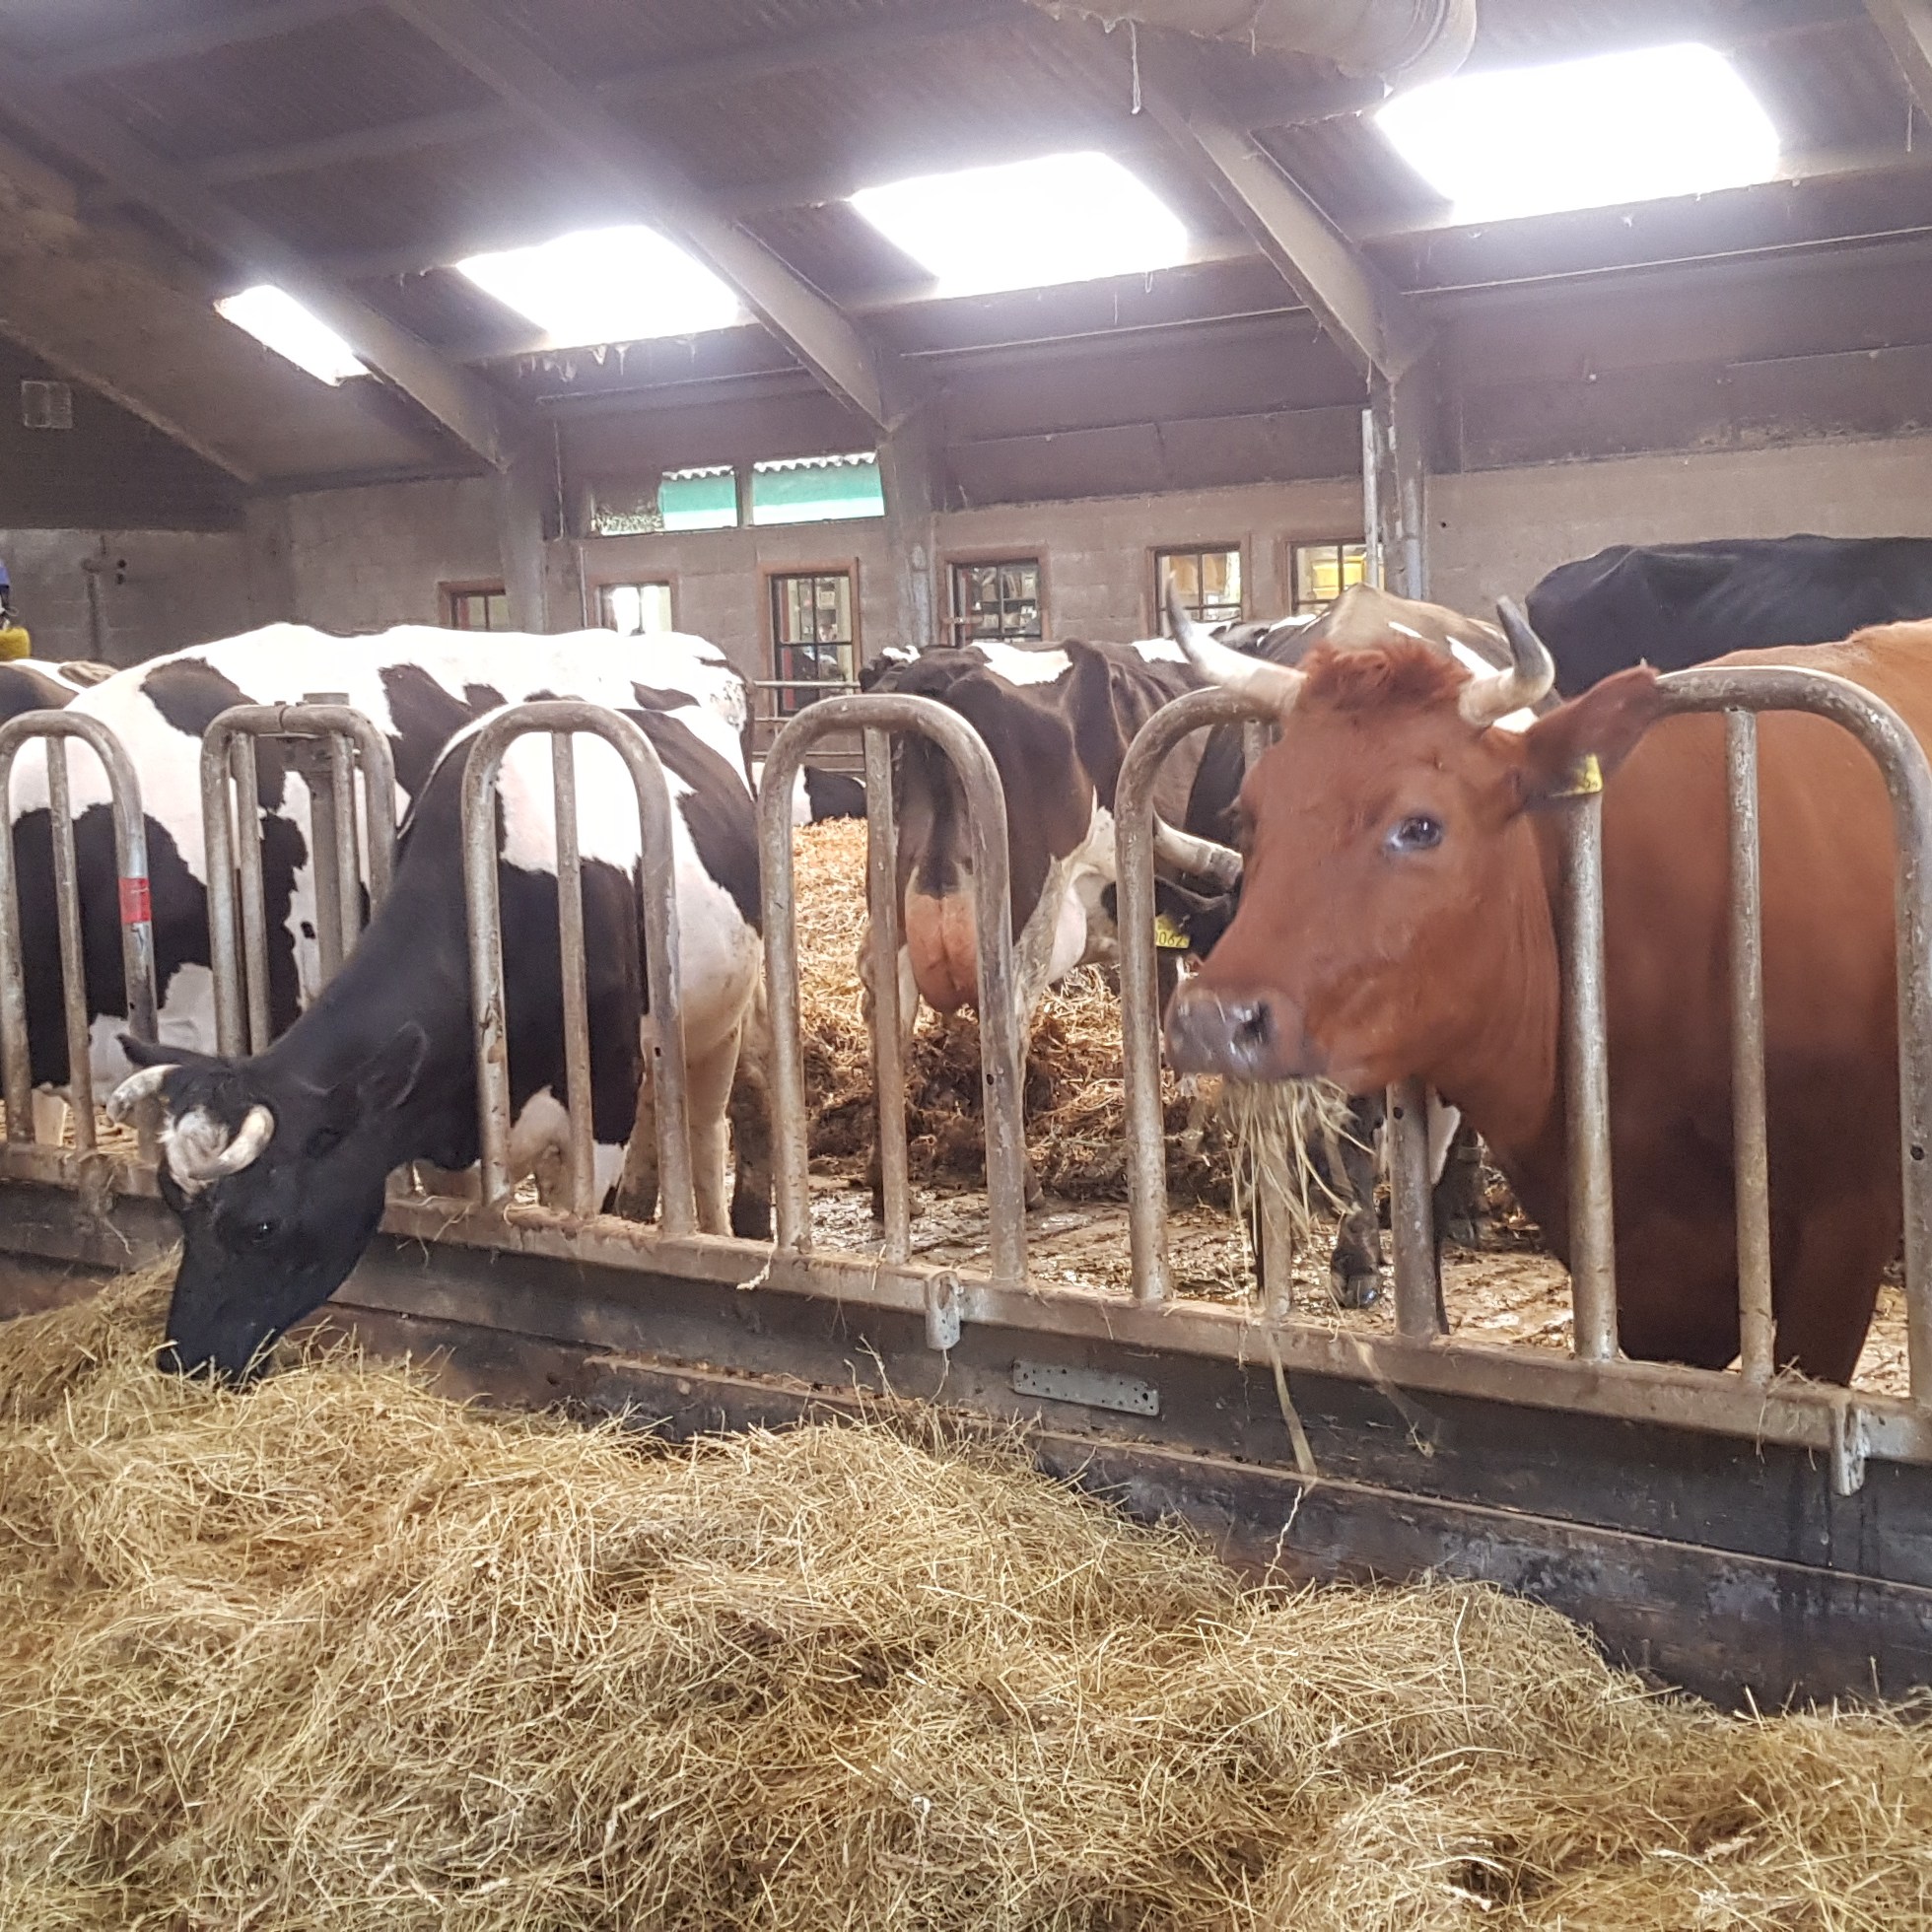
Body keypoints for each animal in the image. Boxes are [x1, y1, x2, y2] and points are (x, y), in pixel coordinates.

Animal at [110, 662, 764, 1381]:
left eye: (262, 1225)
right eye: (172, 1203)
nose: (185, 1359)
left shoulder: (602, 1113)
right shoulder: (452, 1134)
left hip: (717, 1024)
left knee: (703, 1129)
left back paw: (715, 1234)